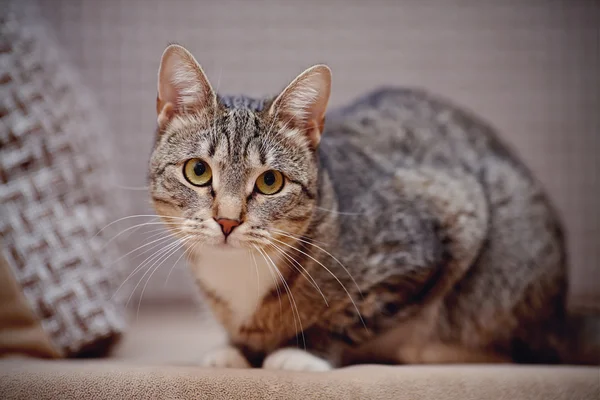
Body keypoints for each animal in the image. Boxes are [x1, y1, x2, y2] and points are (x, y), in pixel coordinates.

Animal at [148, 44, 596, 372]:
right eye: (198, 171)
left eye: (270, 181)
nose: (227, 220)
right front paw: (236, 350)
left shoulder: (439, 229)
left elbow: (356, 313)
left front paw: (303, 351)